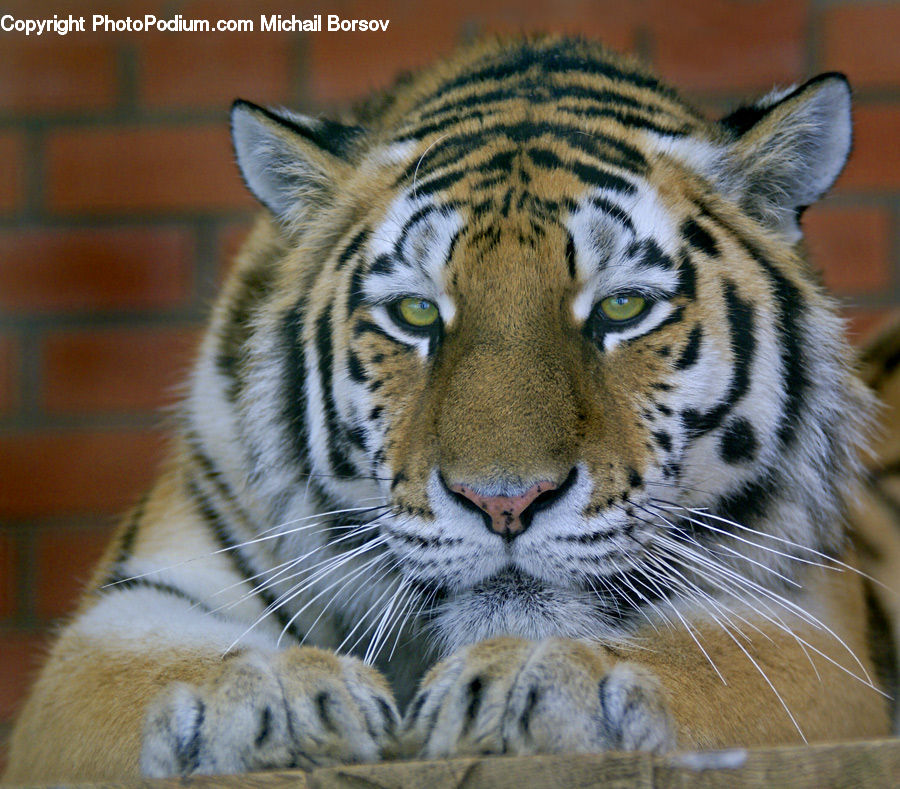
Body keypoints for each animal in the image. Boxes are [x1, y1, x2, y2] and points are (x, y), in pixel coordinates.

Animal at [4, 35, 896, 782]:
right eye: (416, 314)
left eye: (623, 307)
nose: (505, 502)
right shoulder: (117, 618)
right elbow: (170, 664)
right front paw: (273, 697)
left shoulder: (807, 621)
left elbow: (712, 659)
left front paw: (537, 679)